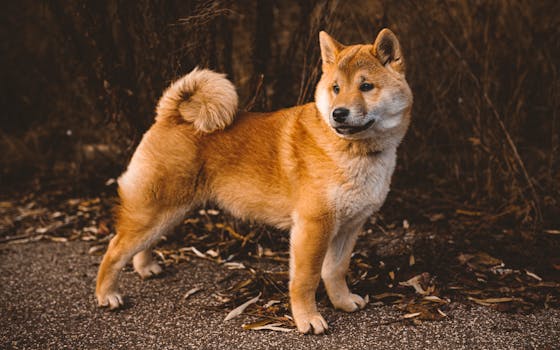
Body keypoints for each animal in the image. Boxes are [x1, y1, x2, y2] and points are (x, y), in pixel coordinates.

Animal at [95, 28, 412, 334]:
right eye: (336, 88)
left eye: (366, 86)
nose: (338, 113)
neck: (353, 151)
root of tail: (171, 116)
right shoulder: (313, 227)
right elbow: (306, 279)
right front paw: (307, 319)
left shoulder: (349, 226)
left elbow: (336, 270)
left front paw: (343, 302)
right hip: (156, 210)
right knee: (115, 249)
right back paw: (107, 294)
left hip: (170, 212)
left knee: (141, 244)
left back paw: (146, 267)